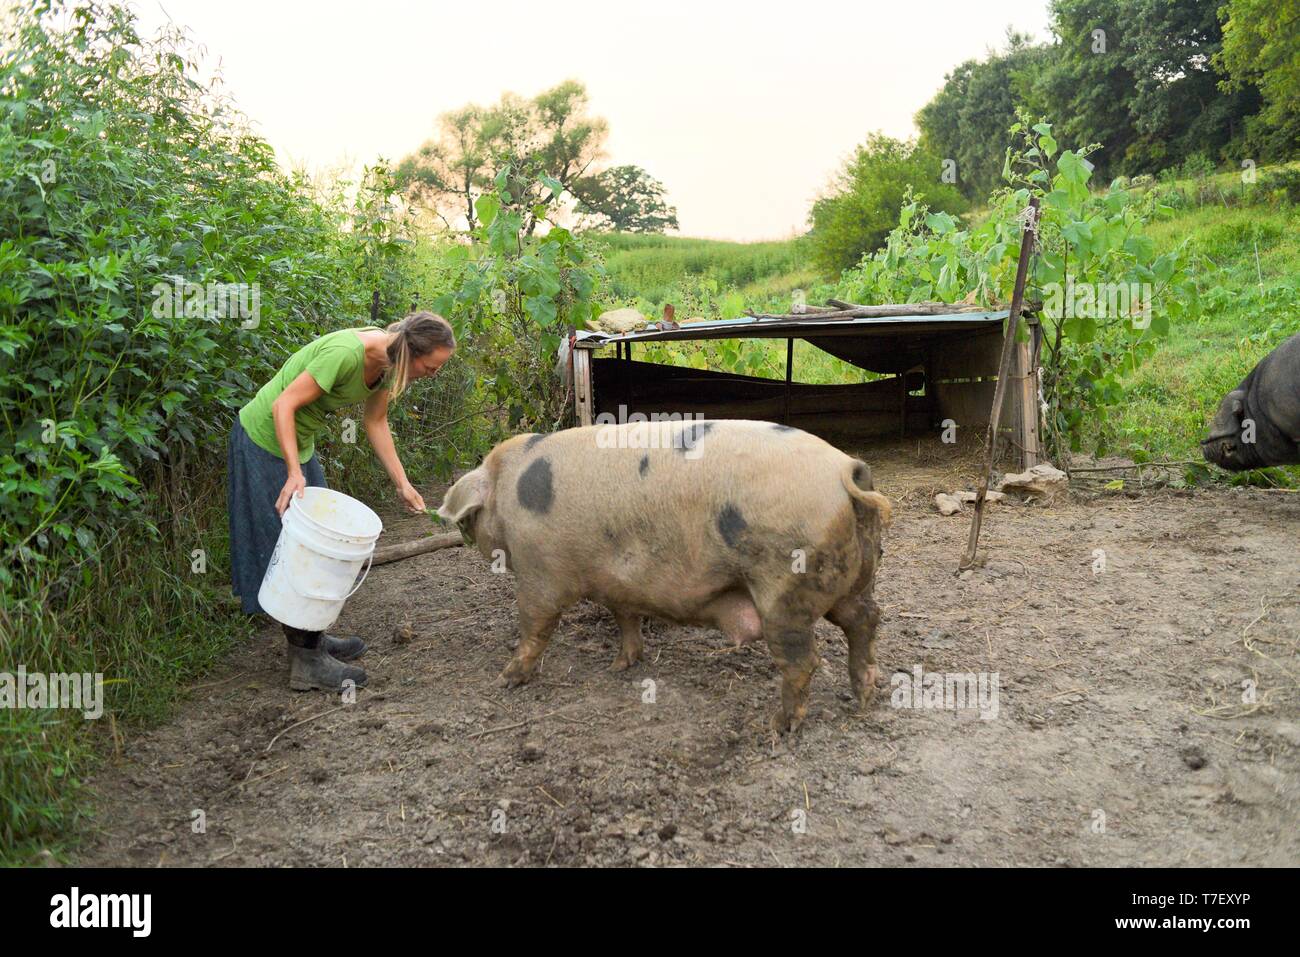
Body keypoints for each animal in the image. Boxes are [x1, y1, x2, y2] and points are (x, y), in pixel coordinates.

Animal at [439, 418, 894, 733]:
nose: (465, 535)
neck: (508, 489)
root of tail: (846, 472)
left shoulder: (540, 573)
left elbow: (535, 626)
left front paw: (505, 680)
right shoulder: (618, 583)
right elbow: (626, 618)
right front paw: (620, 666)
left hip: (786, 587)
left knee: (804, 660)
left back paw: (781, 727)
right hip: (853, 576)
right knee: (866, 619)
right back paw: (866, 696)